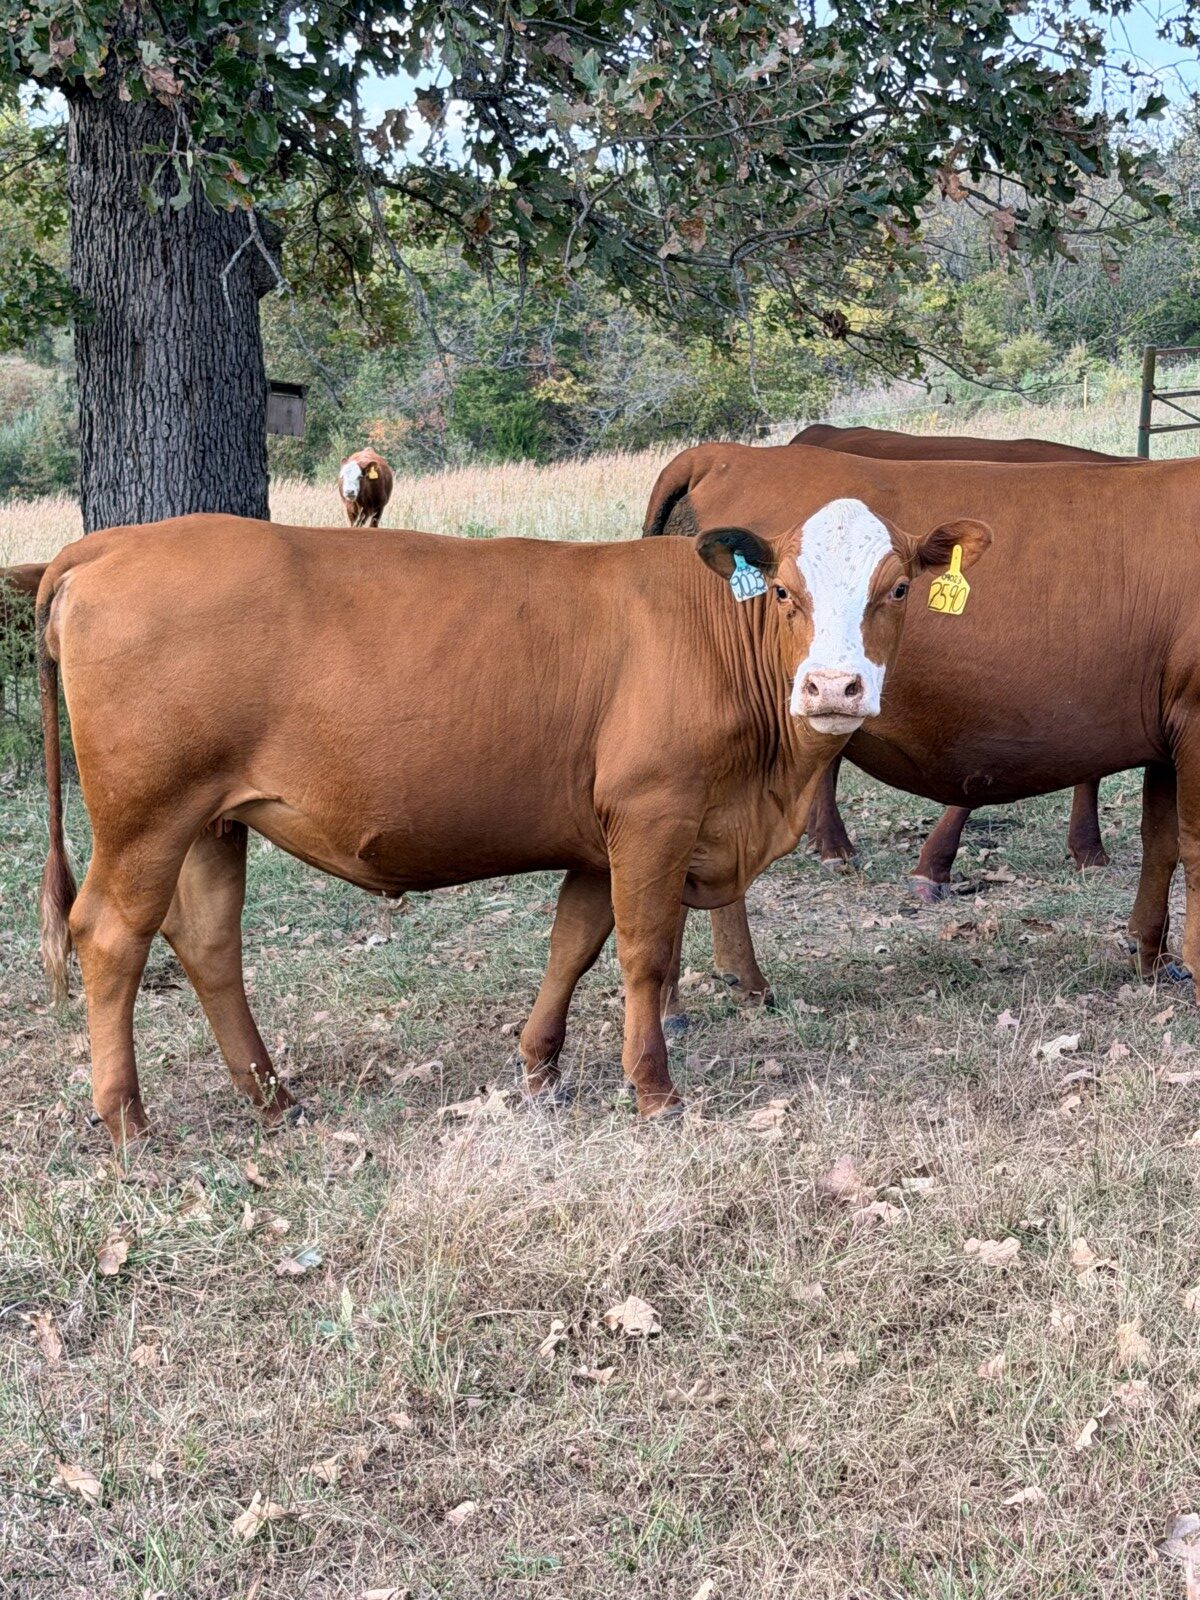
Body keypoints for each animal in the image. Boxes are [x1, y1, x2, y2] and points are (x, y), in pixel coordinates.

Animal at [36, 507, 988, 1147]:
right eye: (786, 591)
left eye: (898, 588)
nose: (833, 687)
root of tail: (109, 543)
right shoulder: (655, 812)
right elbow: (646, 954)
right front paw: (654, 1091)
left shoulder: (602, 836)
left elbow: (574, 944)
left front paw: (539, 1071)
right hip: (147, 816)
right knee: (113, 937)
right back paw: (127, 1125)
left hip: (211, 822)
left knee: (208, 945)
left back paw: (275, 1099)